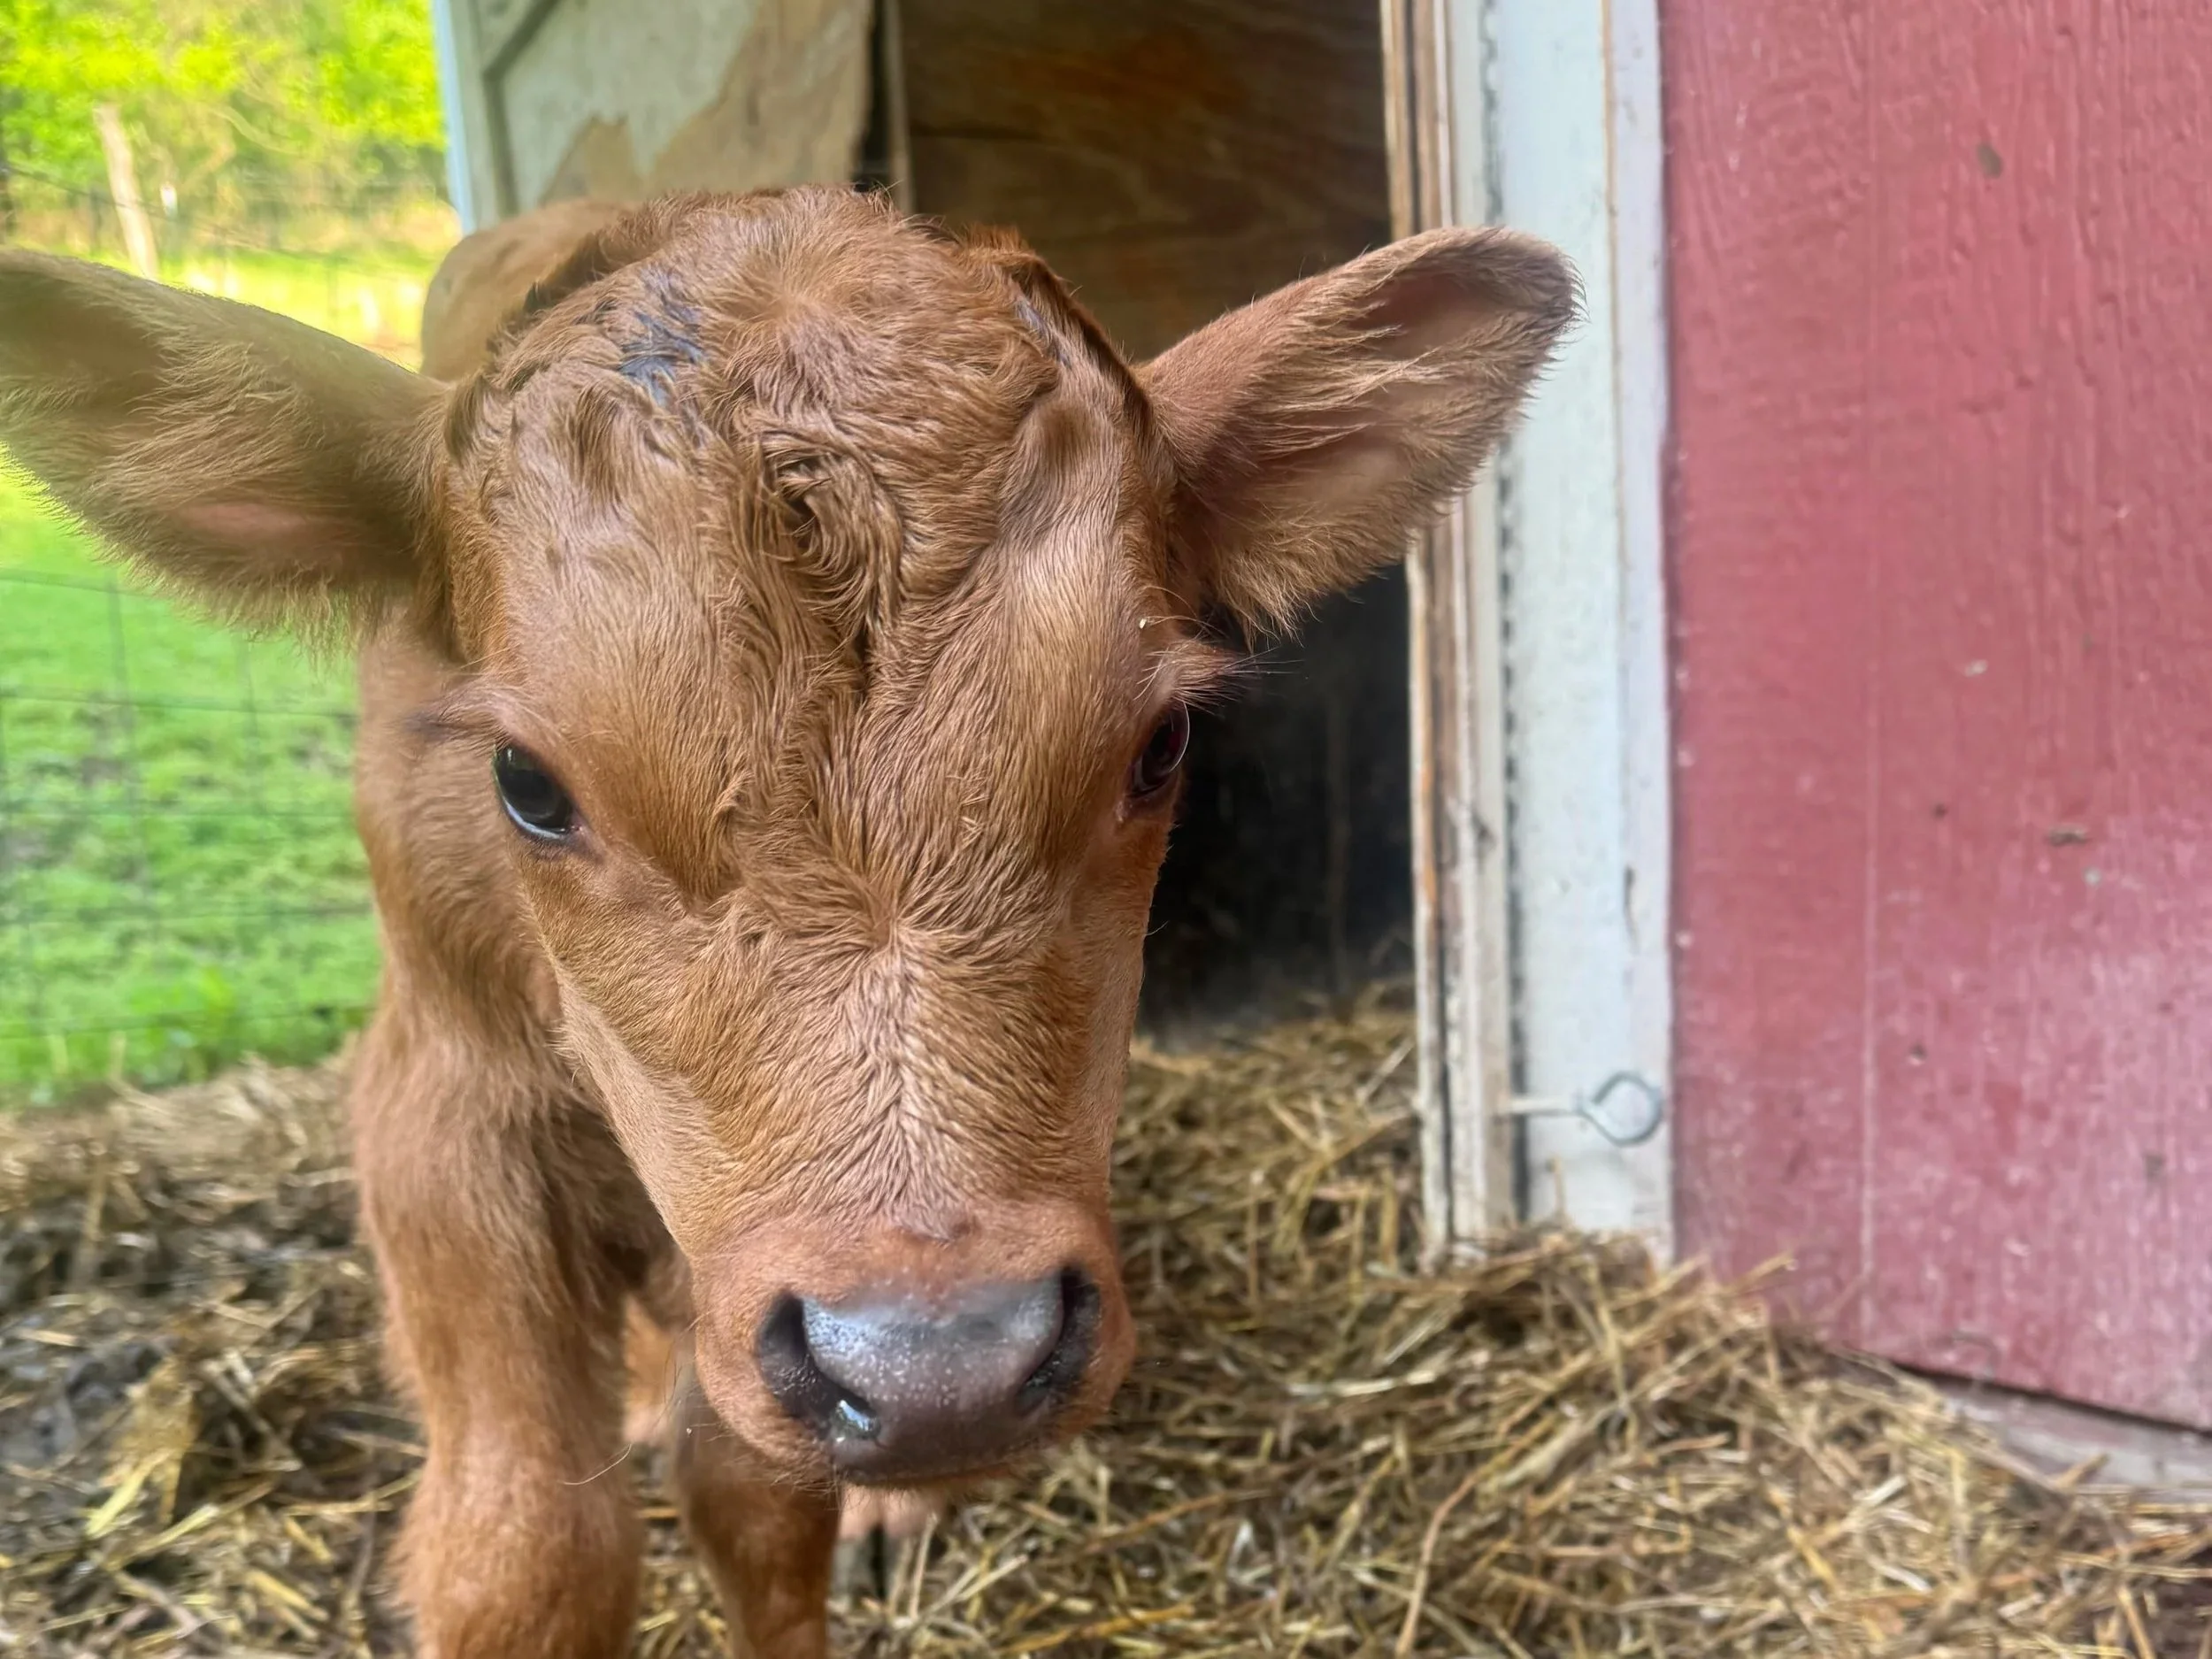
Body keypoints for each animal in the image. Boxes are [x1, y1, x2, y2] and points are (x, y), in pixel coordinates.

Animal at [0, 186, 1572, 1657]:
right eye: (526, 782)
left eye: (1160, 744)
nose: (946, 1359)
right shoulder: (439, 1107)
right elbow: (524, 1546)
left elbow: (759, 1501)